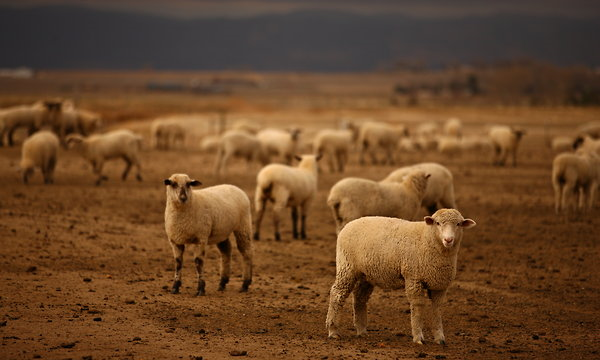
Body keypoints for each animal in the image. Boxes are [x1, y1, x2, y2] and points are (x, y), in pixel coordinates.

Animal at [326, 208, 476, 344]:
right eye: (438, 223)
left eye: (458, 224)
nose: (448, 240)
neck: (427, 237)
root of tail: (349, 224)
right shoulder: (413, 277)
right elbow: (417, 306)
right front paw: (418, 337)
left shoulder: (439, 284)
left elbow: (437, 309)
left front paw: (440, 338)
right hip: (347, 267)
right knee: (337, 294)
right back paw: (333, 330)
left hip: (366, 274)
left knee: (359, 298)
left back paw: (361, 330)